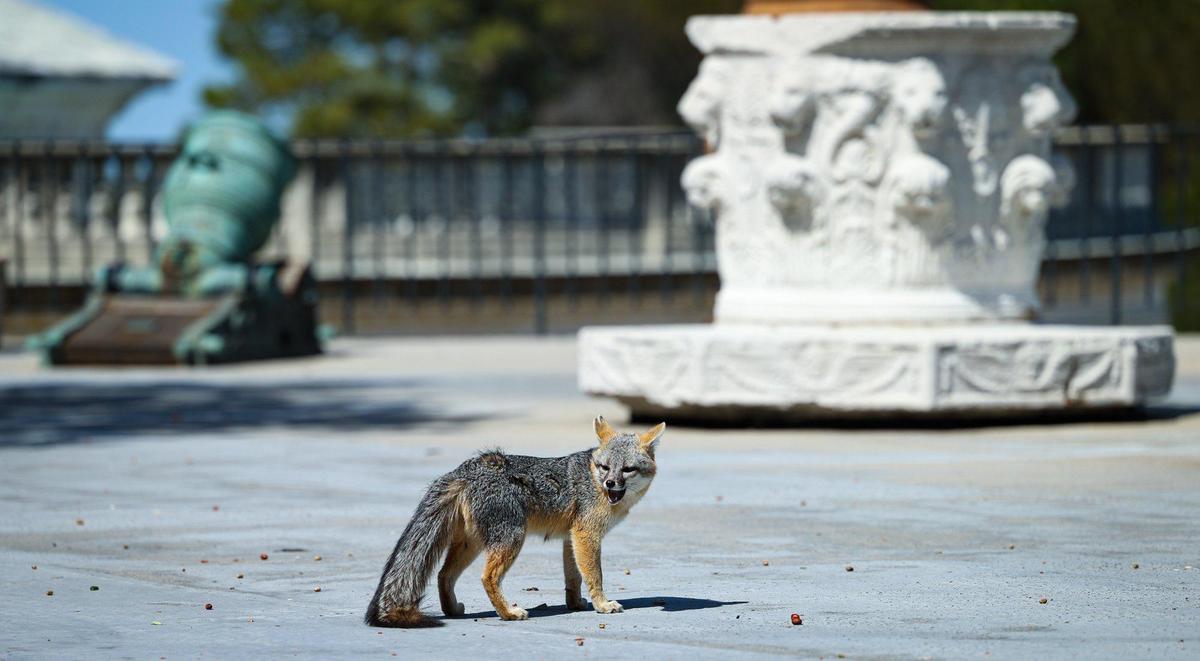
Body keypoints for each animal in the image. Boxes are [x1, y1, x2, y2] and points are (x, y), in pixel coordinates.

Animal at [364, 416, 665, 627]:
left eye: (627, 469)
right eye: (605, 468)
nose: (610, 483)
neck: (592, 479)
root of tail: (466, 469)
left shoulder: (571, 537)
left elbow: (574, 577)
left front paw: (576, 603)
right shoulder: (586, 535)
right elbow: (594, 576)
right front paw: (602, 605)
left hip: (472, 544)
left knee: (443, 574)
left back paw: (453, 610)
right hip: (511, 538)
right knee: (487, 577)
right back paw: (508, 612)